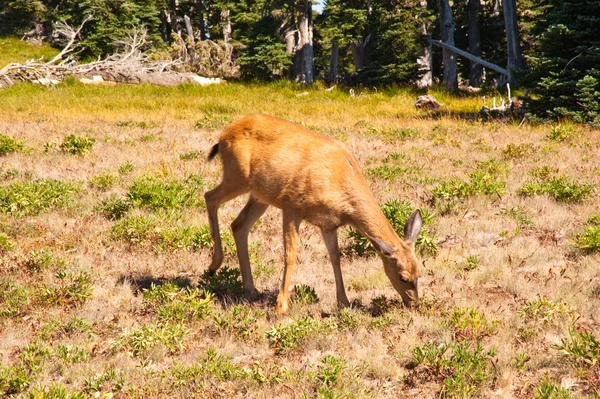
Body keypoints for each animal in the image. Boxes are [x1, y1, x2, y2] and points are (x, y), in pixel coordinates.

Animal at [205, 114, 422, 314]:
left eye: (419, 272)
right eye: (403, 277)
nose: (414, 304)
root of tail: (223, 135)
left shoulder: (328, 224)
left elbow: (335, 257)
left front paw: (344, 301)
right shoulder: (292, 205)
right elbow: (290, 254)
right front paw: (281, 306)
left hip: (260, 195)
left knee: (238, 225)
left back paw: (250, 289)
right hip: (237, 176)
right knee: (210, 197)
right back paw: (214, 265)